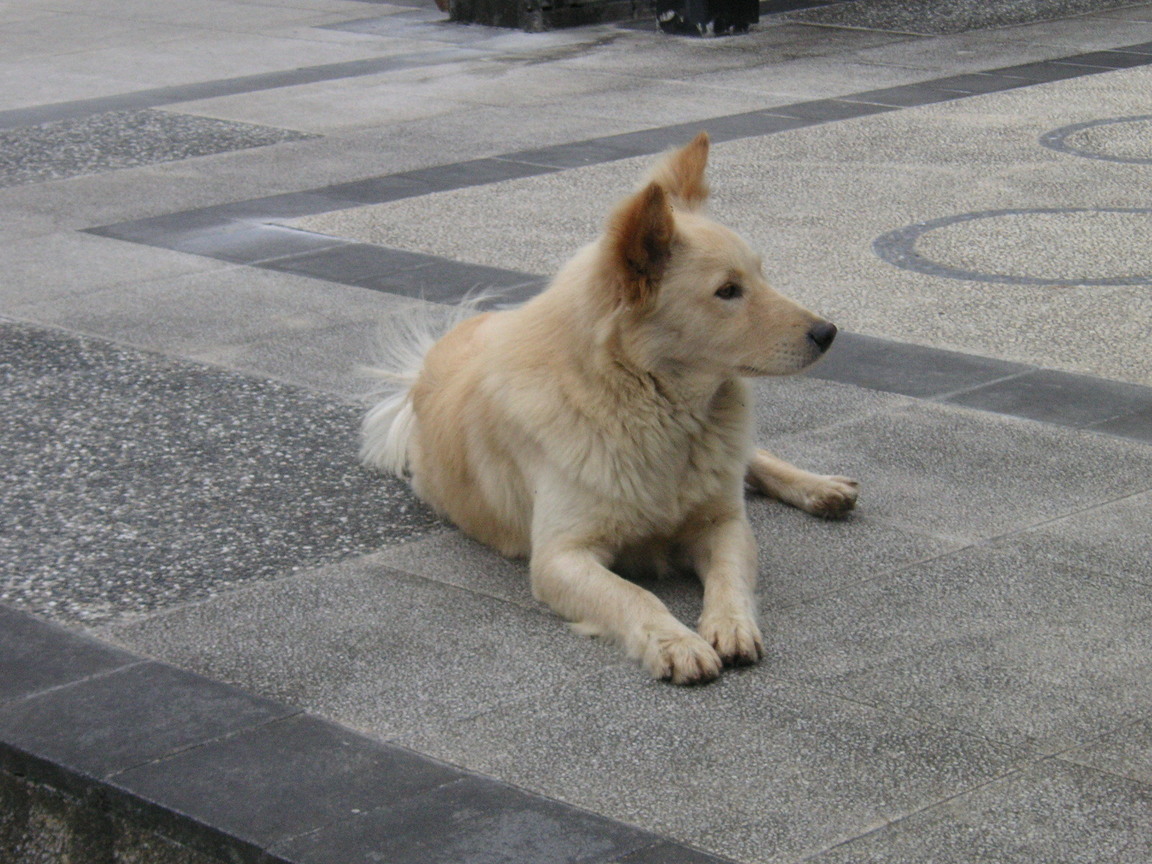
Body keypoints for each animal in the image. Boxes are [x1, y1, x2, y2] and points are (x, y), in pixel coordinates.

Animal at [361, 133, 857, 684]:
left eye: (762, 276)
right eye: (727, 291)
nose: (829, 333)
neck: (639, 399)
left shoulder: (723, 523)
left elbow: (728, 579)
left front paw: (730, 625)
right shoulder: (560, 557)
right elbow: (634, 596)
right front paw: (676, 642)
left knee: (755, 458)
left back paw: (821, 488)